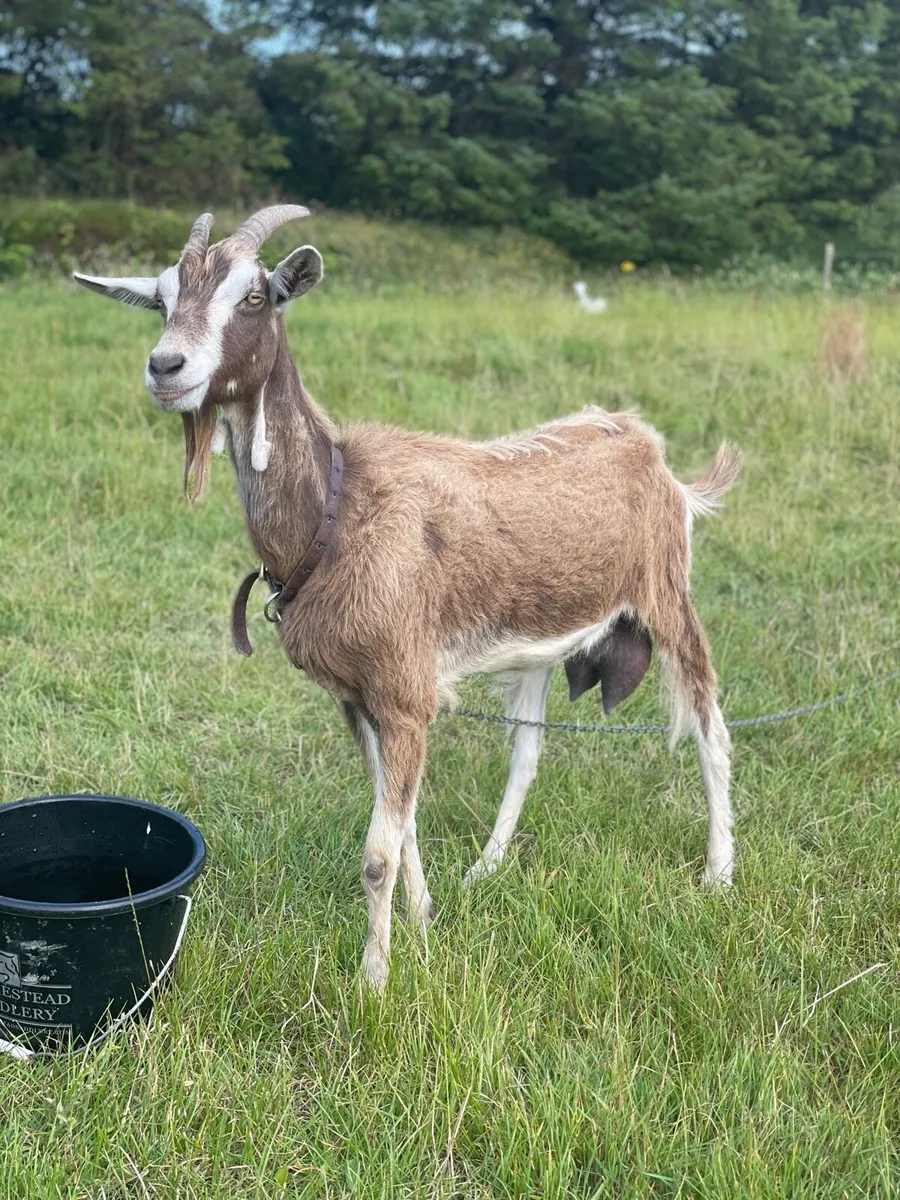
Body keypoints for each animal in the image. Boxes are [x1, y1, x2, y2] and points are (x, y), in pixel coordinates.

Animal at [74, 207, 741, 989]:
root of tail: (652, 450)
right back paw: (486, 869)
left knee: (710, 723)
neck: (335, 513)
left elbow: (377, 852)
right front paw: (423, 922)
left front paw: (374, 980)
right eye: (161, 298)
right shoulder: (357, 696)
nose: (166, 367)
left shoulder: (401, 689)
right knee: (528, 752)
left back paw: (718, 873)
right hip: (541, 639)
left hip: (667, 593)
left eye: (255, 297)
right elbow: (404, 820)